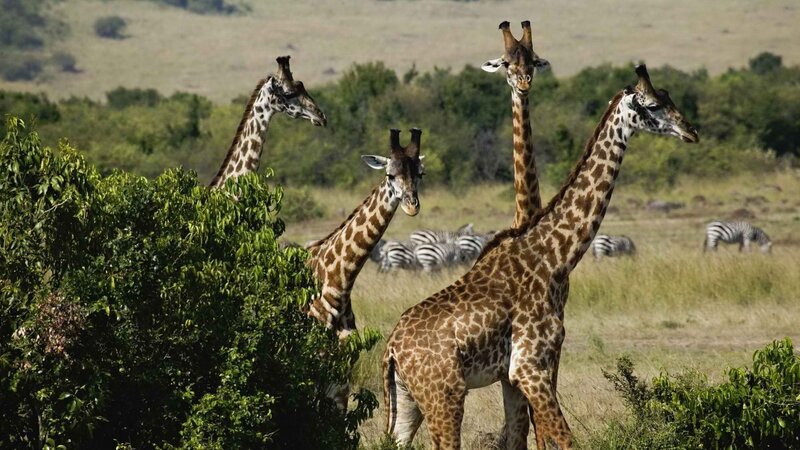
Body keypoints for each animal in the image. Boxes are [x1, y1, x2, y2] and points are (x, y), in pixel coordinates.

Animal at [383, 65, 698, 450]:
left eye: (669, 97)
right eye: (652, 105)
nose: (691, 131)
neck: (554, 257)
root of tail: (391, 349)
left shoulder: (514, 375)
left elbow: (519, 437)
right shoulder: (530, 367)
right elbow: (564, 438)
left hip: (406, 402)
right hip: (445, 395)